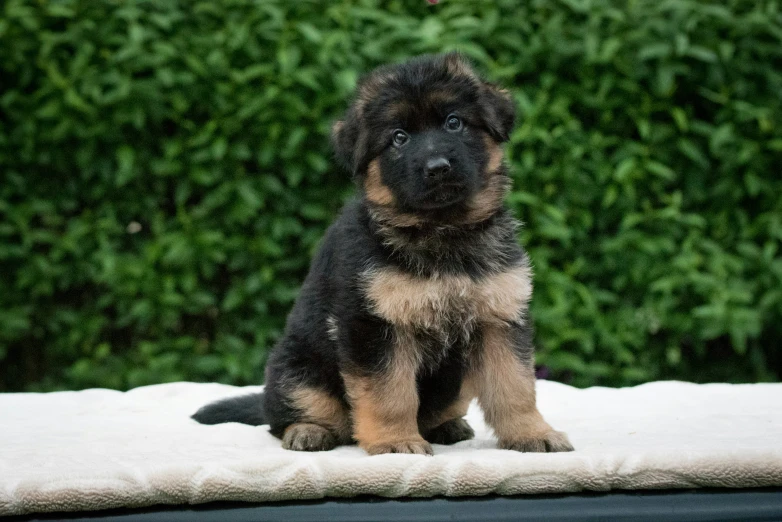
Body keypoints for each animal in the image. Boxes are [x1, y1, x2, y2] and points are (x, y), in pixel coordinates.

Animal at [194, 50, 576, 452]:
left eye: (454, 122)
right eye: (398, 138)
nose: (437, 168)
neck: (442, 231)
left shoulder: (499, 318)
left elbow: (515, 386)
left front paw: (531, 433)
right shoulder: (375, 325)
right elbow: (390, 392)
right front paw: (395, 442)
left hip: (456, 386)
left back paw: (448, 426)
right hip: (298, 373)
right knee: (288, 416)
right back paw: (308, 431)